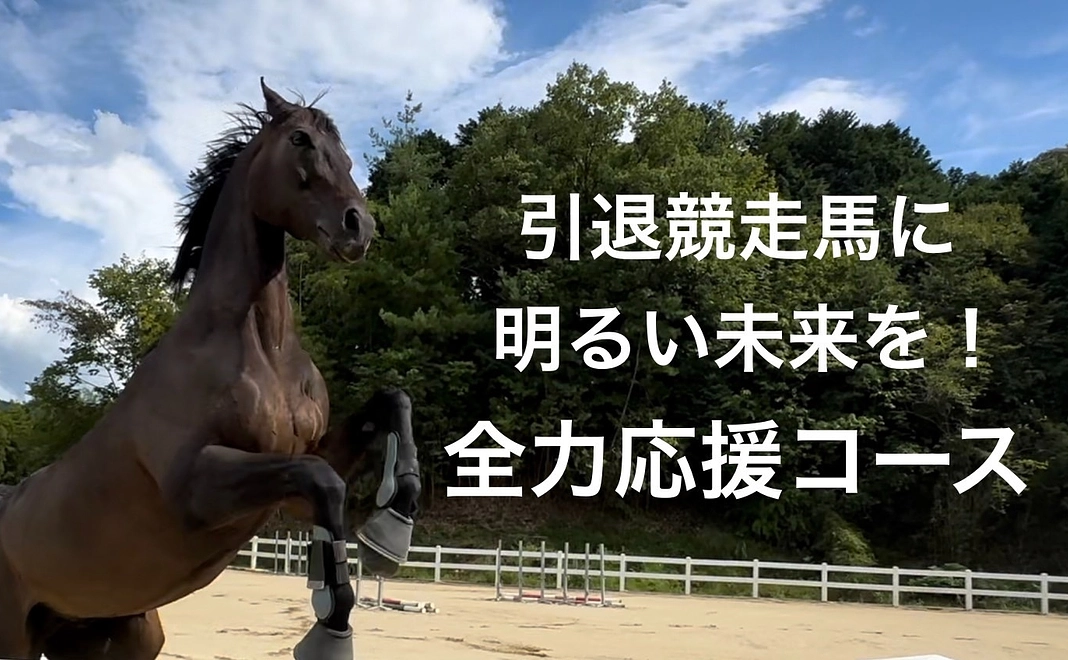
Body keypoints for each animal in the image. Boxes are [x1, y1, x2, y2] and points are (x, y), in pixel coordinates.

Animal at [0, 79, 421, 660]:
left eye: (347, 154)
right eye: (300, 140)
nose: (359, 227)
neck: (261, 350)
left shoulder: (296, 472)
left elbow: (390, 404)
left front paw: (390, 529)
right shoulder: (196, 488)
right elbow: (325, 481)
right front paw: (330, 628)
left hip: (116, 636)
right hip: (13, 637)